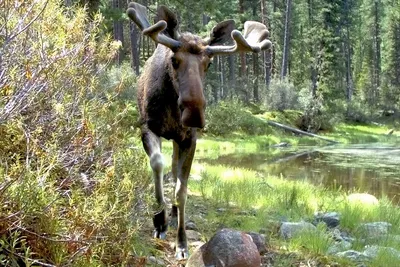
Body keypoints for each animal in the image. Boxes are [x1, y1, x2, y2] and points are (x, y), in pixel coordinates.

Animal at [128, 2, 272, 260]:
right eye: (174, 60)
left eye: (209, 63)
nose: (194, 115)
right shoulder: (147, 127)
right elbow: (157, 164)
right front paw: (159, 220)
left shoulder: (189, 138)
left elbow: (181, 189)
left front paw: (181, 242)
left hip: (178, 140)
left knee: (175, 170)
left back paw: (175, 212)